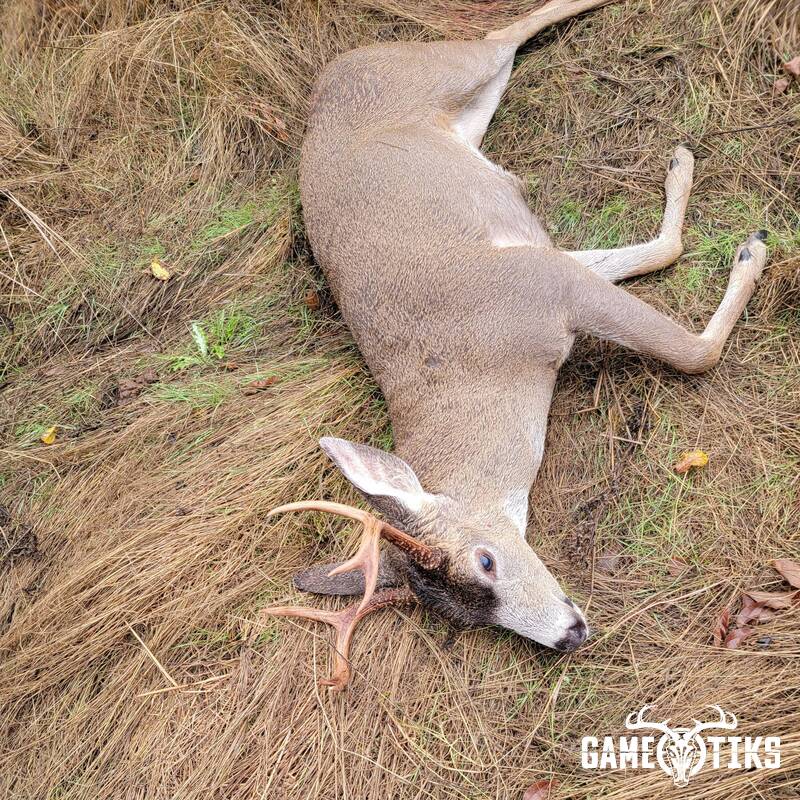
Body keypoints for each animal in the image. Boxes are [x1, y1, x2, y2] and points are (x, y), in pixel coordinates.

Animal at [262, 0, 769, 690]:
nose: (570, 634)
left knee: (499, 32)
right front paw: (714, 208)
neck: (495, 371)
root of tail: (329, 77)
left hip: (447, 68)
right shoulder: (546, 269)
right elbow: (661, 254)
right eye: (467, 614)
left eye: (485, 561)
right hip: (472, 111)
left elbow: (695, 348)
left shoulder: (542, 285)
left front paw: (752, 248)